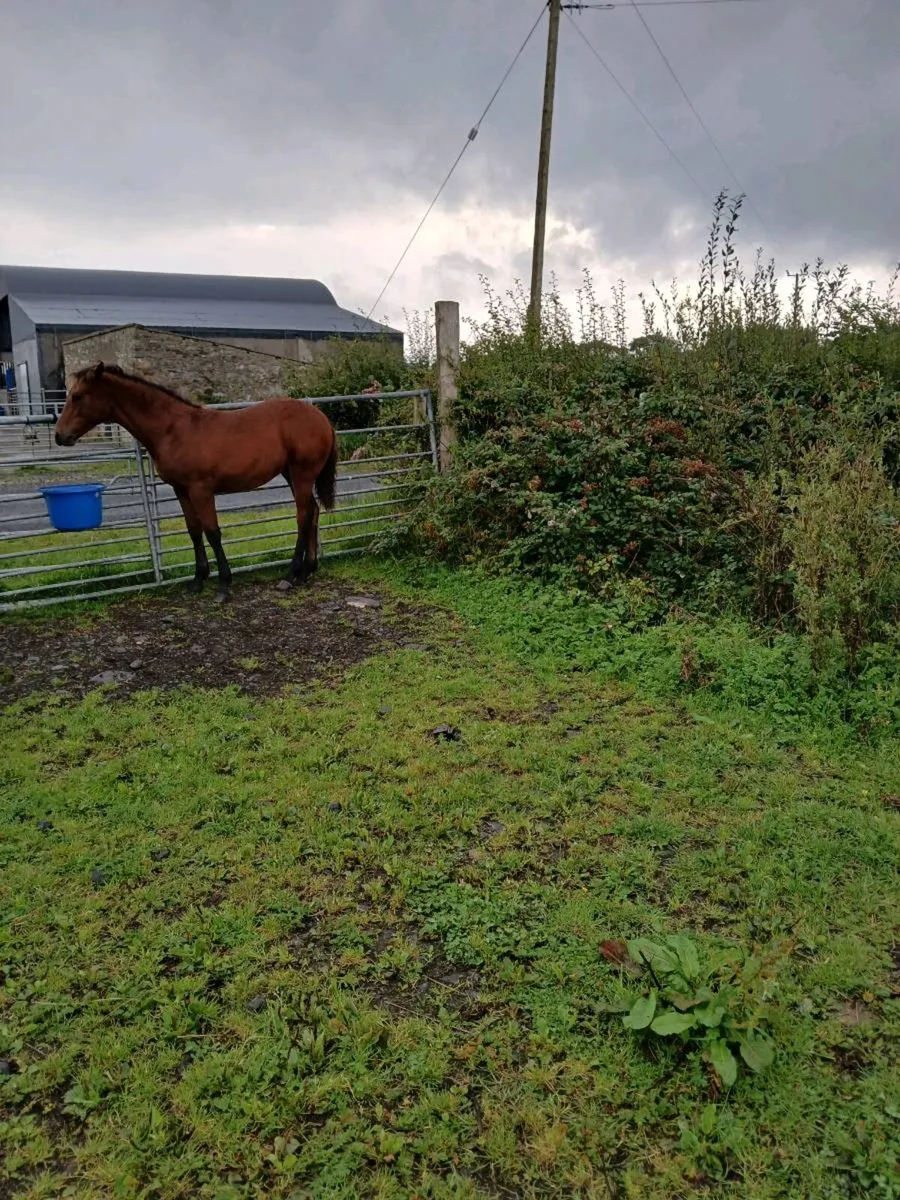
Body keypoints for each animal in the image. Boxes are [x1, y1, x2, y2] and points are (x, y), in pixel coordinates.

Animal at [53, 362, 338, 602]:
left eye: (77, 396)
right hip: (291, 474)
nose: (59, 436)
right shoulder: (181, 490)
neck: (173, 430)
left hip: (301, 474)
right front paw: (198, 580)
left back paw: (290, 575)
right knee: (312, 512)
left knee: (303, 516)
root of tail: (320, 416)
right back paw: (306, 571)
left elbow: (212, 532)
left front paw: (223, 585)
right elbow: (194, 531)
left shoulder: (201, 490)